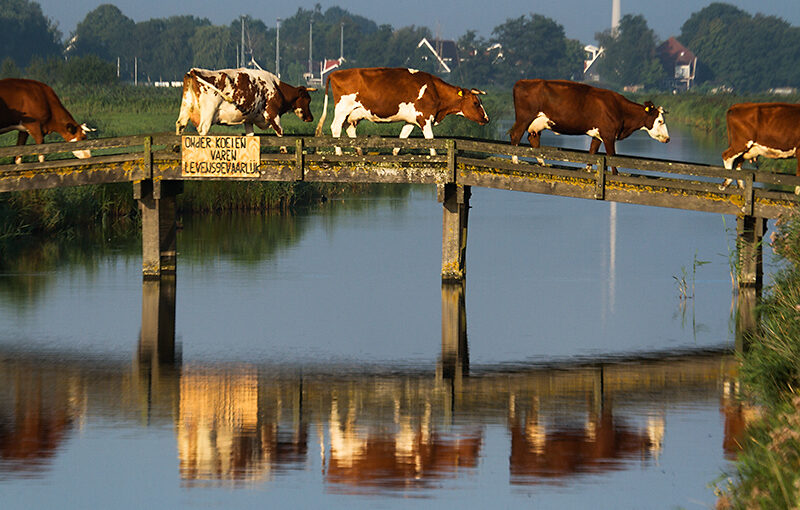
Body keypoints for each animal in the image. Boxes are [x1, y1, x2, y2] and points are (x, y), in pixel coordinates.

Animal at [175, 68, 315, 138]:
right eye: (307, 100)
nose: (311, 118)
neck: (276, 87)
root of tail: (194, 71)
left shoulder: (249, 120)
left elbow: (250, 135)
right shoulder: (273, 114)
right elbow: (281, 133)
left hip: (186, 107)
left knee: (180, 125)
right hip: (208, 113)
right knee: (203, 130)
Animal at [314, 67, 489, 156]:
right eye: (475, 103)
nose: (486, 119)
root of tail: (335, 73)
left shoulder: (411, 120)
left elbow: (403, 137)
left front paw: (395, 153)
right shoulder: (424, 118)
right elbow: (430, 139)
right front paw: (433, 156)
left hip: (354, 113)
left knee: (349, 129)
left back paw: (359, 151)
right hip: (342, 109)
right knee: (335, 127)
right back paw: (339, 152)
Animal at [509, 79, 670, 173]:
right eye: (660, 121)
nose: (668, 139)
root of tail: (522, 81)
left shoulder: (598, 134)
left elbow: (592, 152)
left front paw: (587, 169)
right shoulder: (609, 135)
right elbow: (612, 156)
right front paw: (615, 173)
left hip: (538, 123)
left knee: (533, 138)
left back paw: (542, 163)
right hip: (524, 118)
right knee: (515, 135)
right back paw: (515, 160)